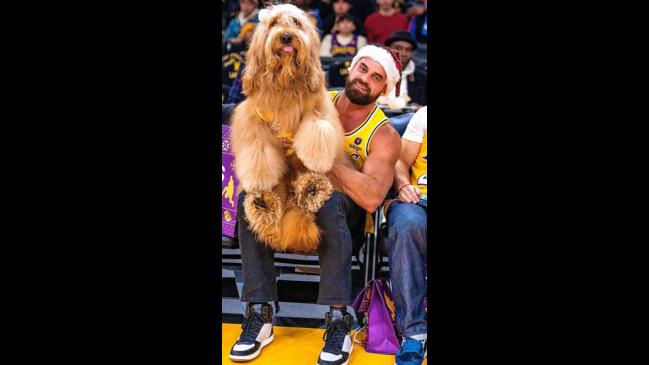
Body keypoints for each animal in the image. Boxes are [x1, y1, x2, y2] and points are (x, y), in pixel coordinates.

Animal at [229, 3, 346, 253]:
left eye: (296, 22)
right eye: (274, 23)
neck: (285, 80)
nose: (285, 36)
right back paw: (262, 203)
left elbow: (317, 129)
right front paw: (259, 179)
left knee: (308, 190)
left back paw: (312, 188)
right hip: (280, 187)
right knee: (272, 208)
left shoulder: (317, 109)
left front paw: (316, 157)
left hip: (302, 176)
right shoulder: (254, 122)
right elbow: (259, 151)